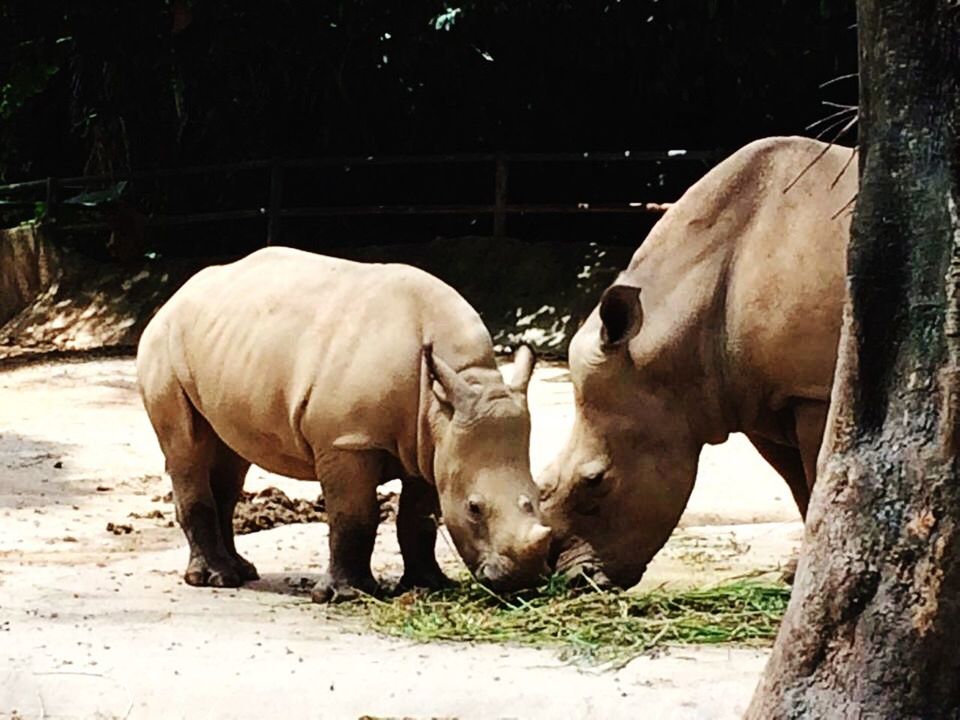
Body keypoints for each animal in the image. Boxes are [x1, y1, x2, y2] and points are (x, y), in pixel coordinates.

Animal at [138, 245, 552, 600]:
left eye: (536, 496)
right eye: (474, 508)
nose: (523, 579)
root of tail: (174, 297)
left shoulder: (432, 445)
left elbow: (418, 519)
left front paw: (430, 586)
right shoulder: (347, 440)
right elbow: (355, 516)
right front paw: (346, 595)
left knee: (231, 455)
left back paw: (242, 572)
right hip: (163, 344)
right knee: (187, 449)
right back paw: (215, 580)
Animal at [540, 136, 856, 592]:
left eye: (596, 481)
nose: (578, 579)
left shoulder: (814, 390)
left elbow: (817, 477)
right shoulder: (755, 395)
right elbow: (797, 482)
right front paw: (794, 573)